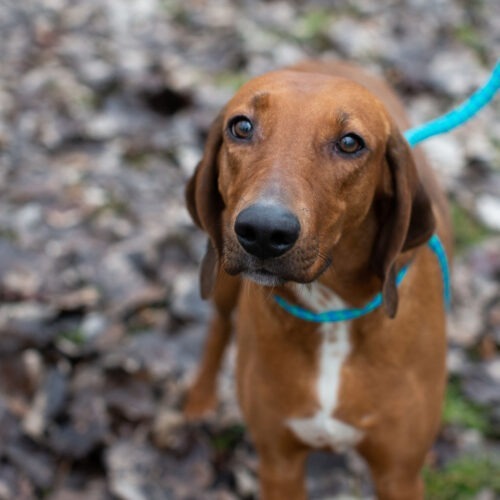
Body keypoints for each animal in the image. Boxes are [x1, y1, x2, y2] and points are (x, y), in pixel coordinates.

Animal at [184, 59, 454, 500]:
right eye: (242, 126)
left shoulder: (398, 475)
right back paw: (199, 399)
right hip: (221, 273)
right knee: (219, 325)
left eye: (350, 142)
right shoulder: (279, 463)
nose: (263, 230)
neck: (331, 311)